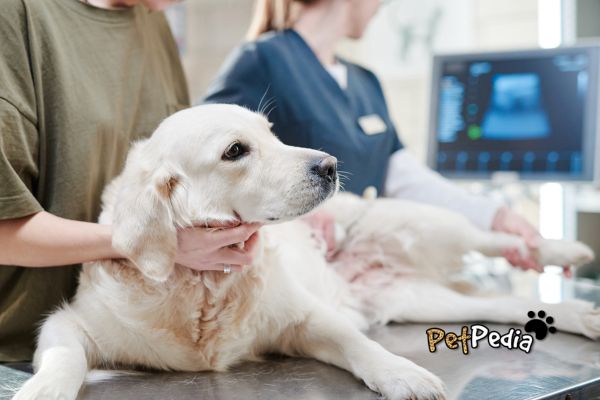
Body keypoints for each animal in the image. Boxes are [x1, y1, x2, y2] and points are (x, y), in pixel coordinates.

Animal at [12, 104, 596, 400]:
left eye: (273, 134)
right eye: (236, 151)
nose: (330, 164)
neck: (205, 287)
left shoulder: (303, 318)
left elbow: (360, 345)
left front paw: (402, 374)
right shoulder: (70, 323)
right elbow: (65, 357)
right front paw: (43, 390)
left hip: (421, 222)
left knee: (493, 238)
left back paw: (565, 248)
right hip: (420, 299)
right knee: (496, 303)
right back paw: (572, 314)